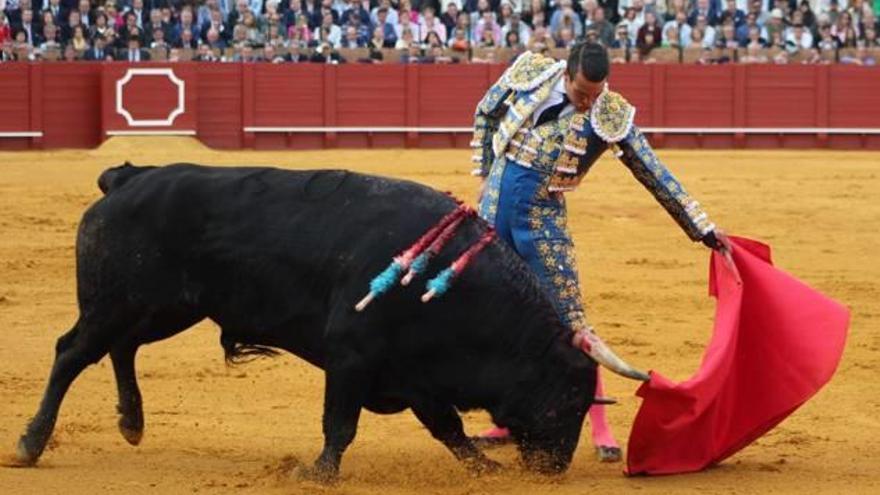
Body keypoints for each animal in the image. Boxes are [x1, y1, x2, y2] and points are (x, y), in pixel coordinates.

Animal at [15, 165, 600, 478]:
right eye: (569, 402)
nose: (555, 468)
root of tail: (128, 178)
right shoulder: (351, 357)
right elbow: (340, 424)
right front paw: (318, 474)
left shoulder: (414, 375)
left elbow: (449, 429)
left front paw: (485, 469)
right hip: (117, 303)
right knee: (72, 352)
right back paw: (30, 444)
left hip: (164, 308)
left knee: (122, 348)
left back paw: (132, 423)